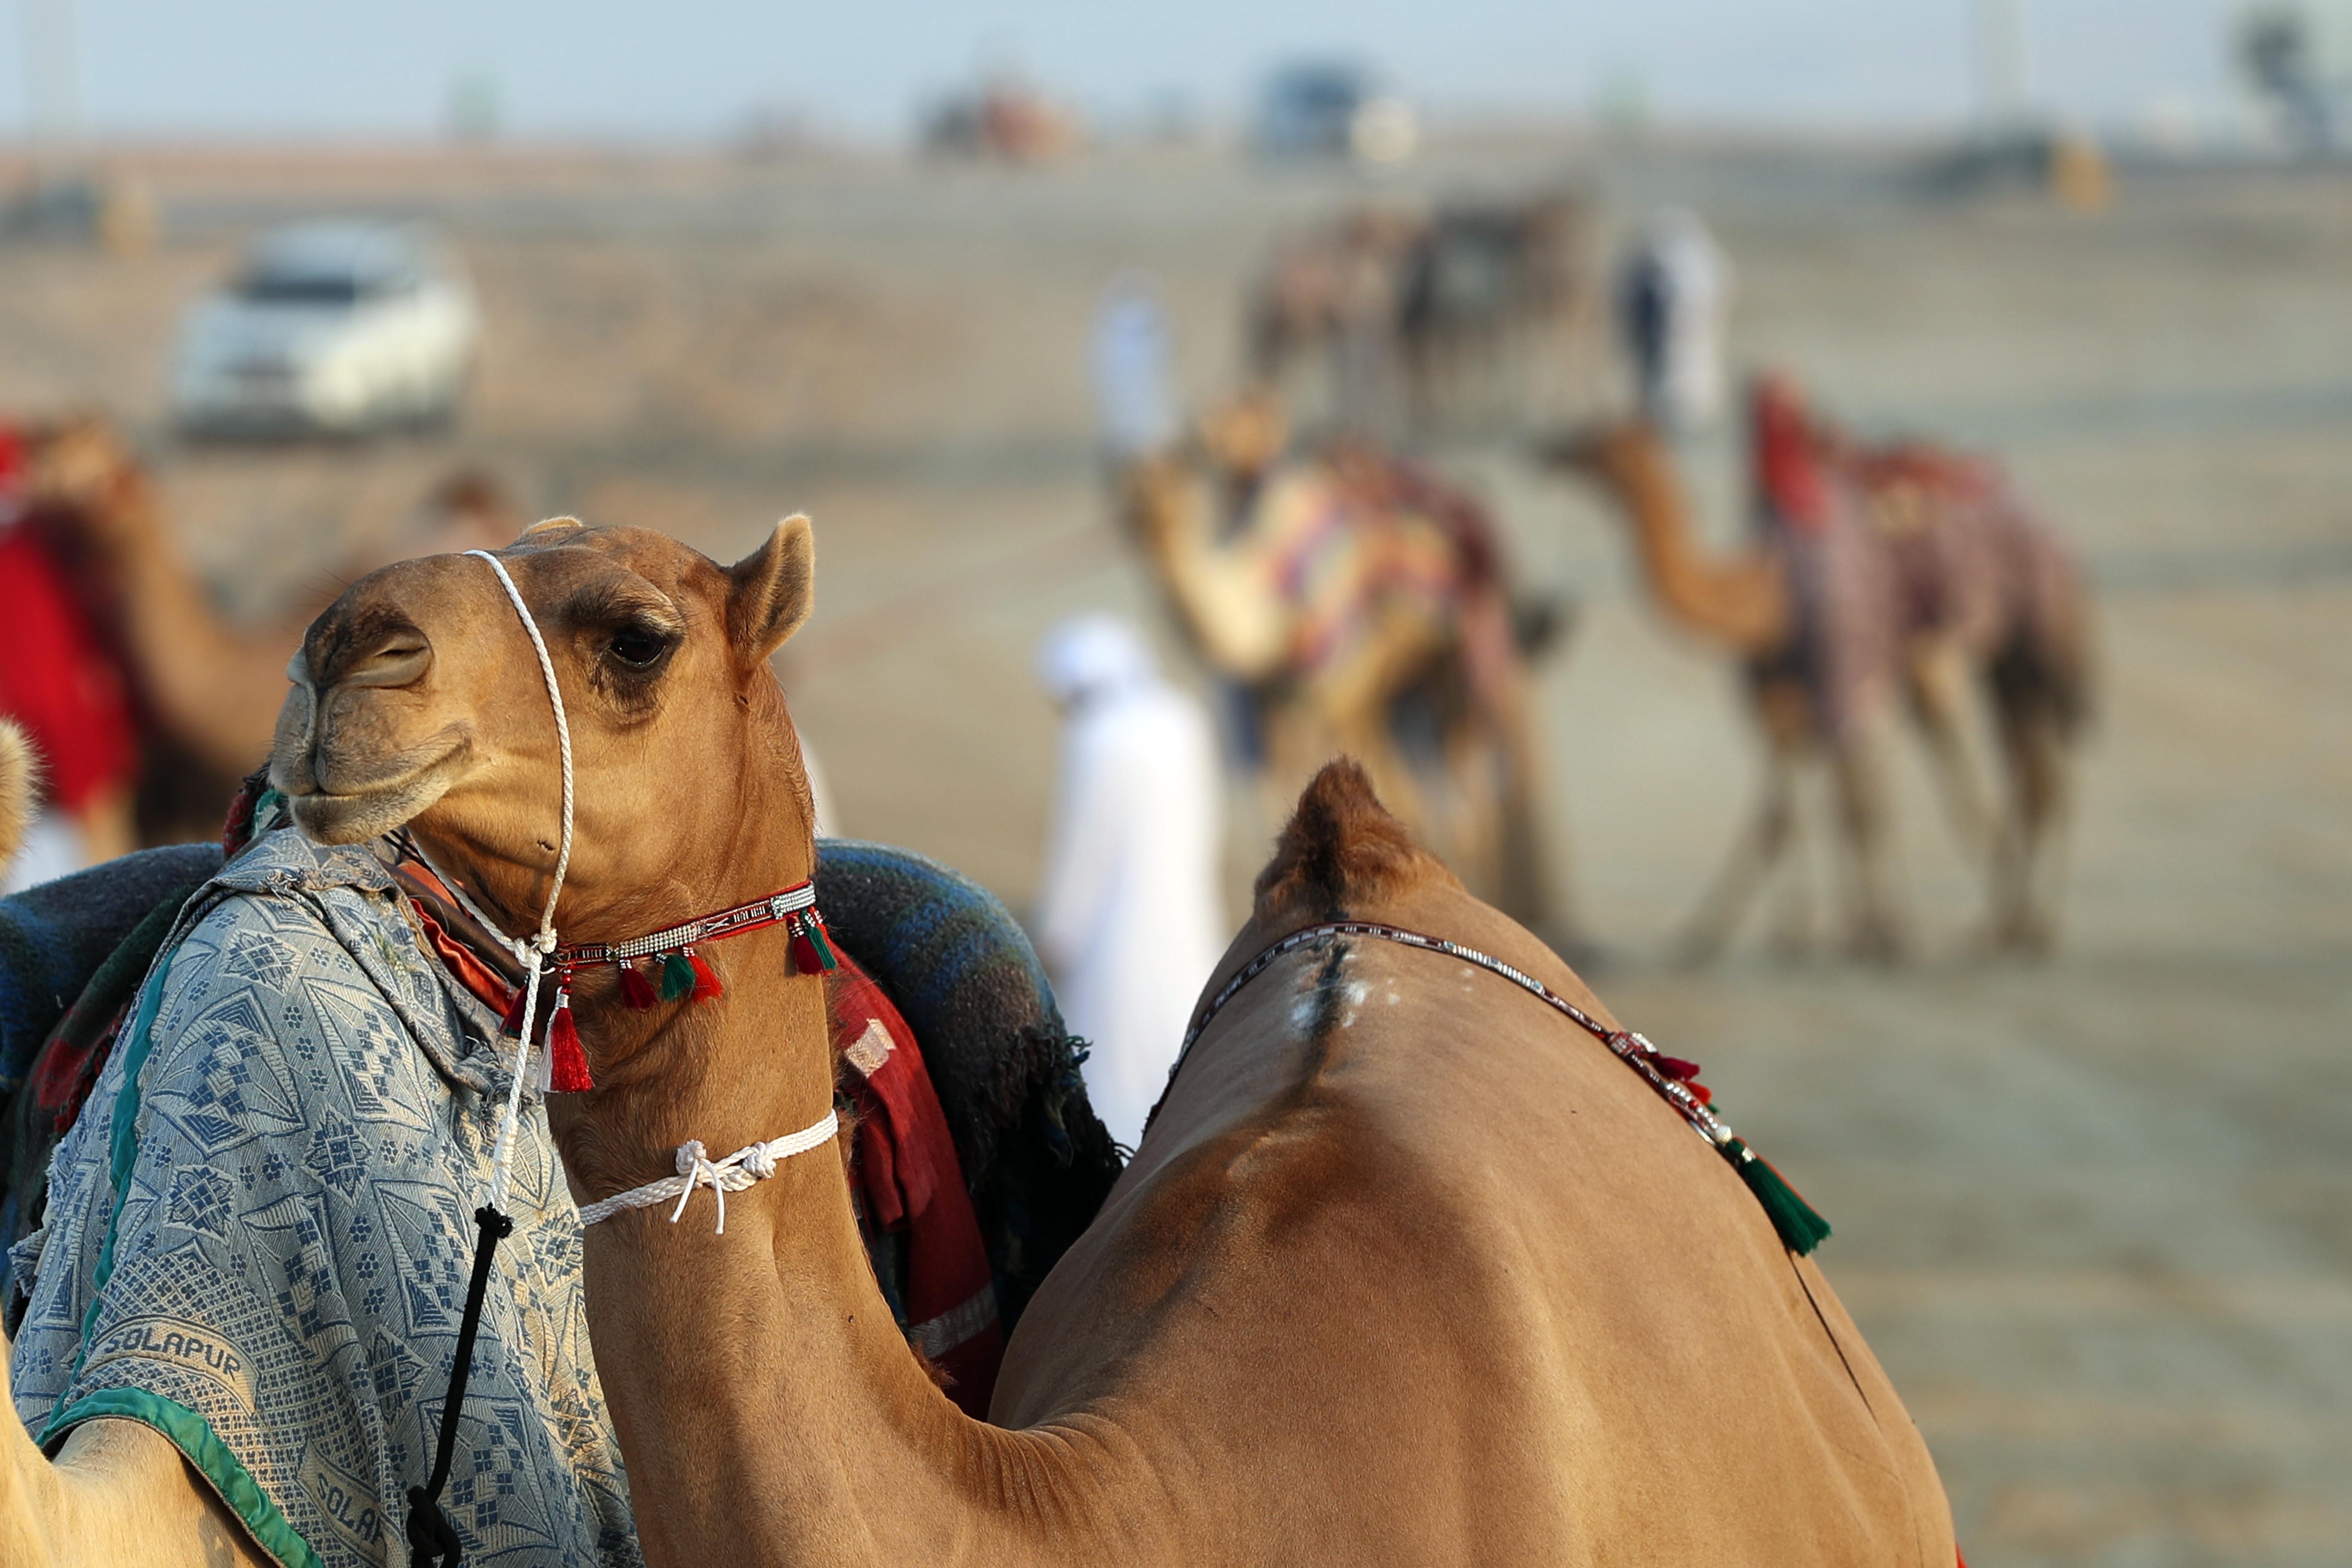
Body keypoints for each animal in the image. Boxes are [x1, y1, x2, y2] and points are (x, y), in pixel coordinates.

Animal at [1552, 383, 2089, 968]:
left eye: (1593, 444)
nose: (1546, 452)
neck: (1764, 591)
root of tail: (2054, 529)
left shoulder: (1840, 674)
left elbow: (1849, 808)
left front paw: (1874, 935)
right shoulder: (1781, 691)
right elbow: (1796, 811)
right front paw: (1778, 934)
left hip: (2027, 639)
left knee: (2018, 776)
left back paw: (2018, 927)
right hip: (2002, 663)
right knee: (2032, 773)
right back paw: (2015, 927)